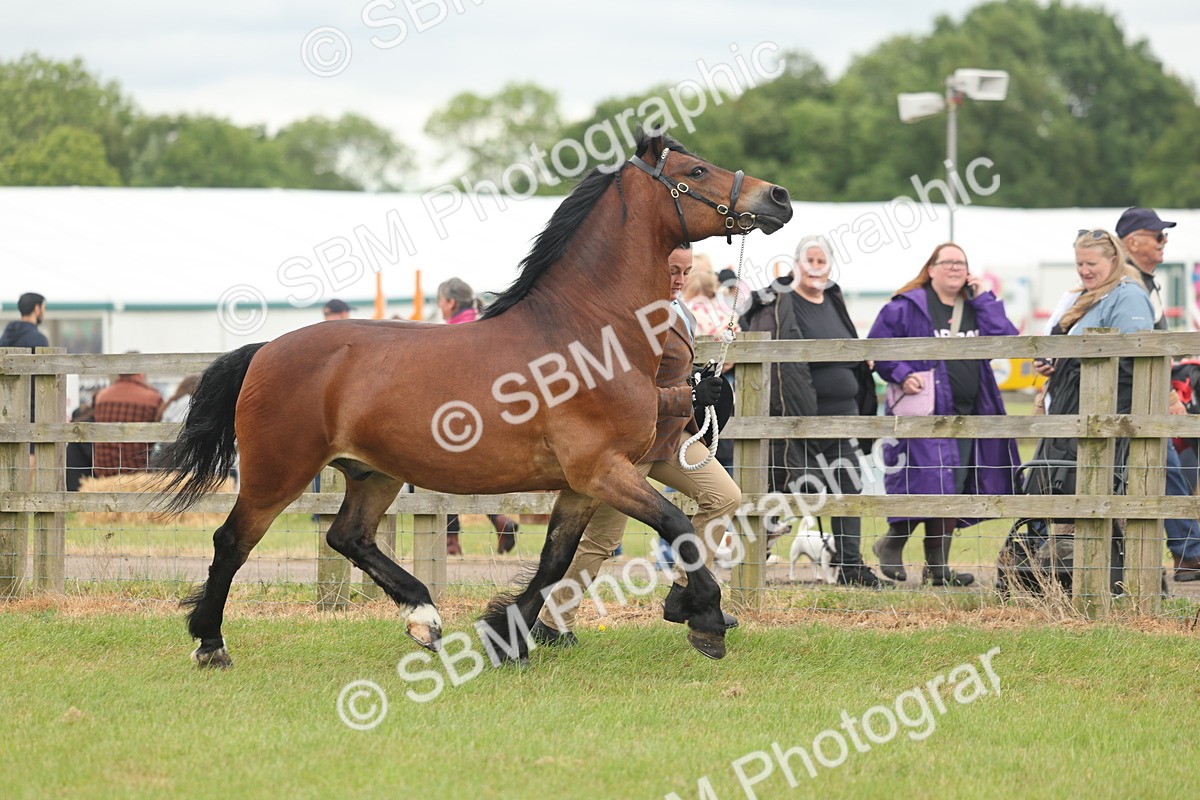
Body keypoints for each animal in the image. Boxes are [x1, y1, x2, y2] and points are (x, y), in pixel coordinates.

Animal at [160, 131, 792, 668]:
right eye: (696, 170)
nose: (779, 197)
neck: (587, 332)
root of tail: (265, 351)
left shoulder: (583, 484)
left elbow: (556, 559)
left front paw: (507, 637)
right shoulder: (603, 471)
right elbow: (676, 526)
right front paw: (705, 618)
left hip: (373, 473)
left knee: (348, 537)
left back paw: (424, 617)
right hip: (277, 474)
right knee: (232, 542)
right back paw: (211, 644)